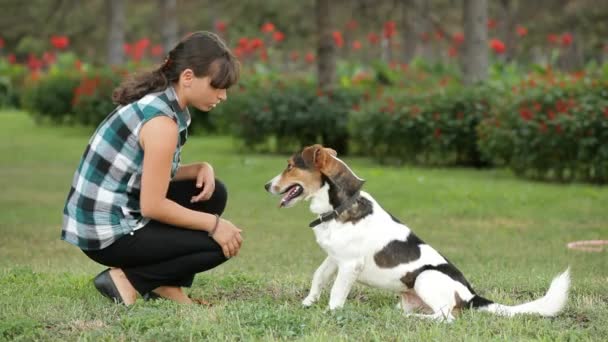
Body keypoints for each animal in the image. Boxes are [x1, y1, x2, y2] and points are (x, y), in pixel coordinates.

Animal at [264, 144, 568, 324]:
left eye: (290, 165)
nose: (267, 186)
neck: (340, 205)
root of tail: (472, 296)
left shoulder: (349, 265)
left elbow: (337, 293)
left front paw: (330, 313)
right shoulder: (333, 258)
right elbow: (318, 278)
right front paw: (307, 303)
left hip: (426, 277)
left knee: (446, 317)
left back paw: (417, 321)